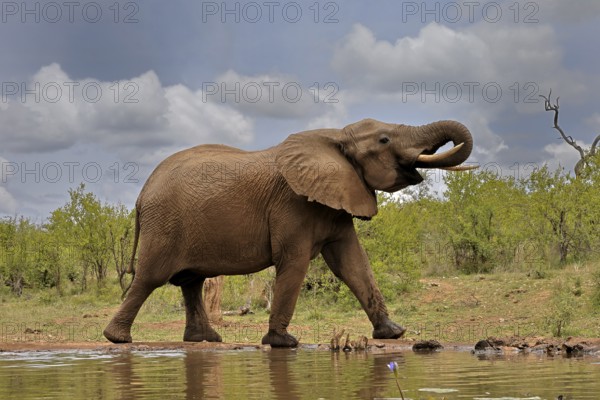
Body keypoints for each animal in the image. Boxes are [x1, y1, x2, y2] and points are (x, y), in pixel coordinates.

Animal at [104, 118, 478, 346]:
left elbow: (353, 264)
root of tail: (141, 194)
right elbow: (295, 263)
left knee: (191, 282)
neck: (335, 136)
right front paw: (283, 344)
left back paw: (206, 341)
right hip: (164, 225)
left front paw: (393, 334)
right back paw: (117, 338)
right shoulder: (292, 205)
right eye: (384, 139)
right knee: (150, 278)